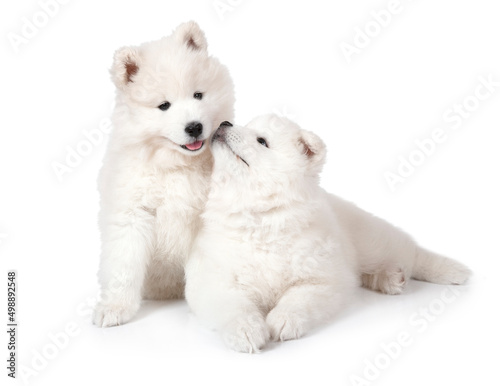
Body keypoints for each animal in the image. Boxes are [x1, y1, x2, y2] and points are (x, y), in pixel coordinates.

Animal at [93, 21, 234, 328]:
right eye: (164, 105)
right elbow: (124, 265)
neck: (175, 165)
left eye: (198, 95)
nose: (194, 127)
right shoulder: (133, 212)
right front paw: (114, 308)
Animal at [185, 114, 472, 352]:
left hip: (372, 241)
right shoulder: (213, 280)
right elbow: (233, 306)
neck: (261, 216)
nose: (224, 123)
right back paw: (390, 279)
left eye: (261, 140)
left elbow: (299, 298)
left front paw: (283, 320)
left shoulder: (323, 278)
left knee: (411, 252)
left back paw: (450, 271)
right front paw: (246, 331)